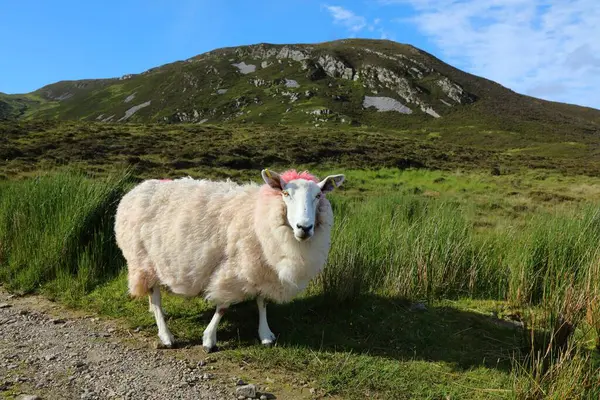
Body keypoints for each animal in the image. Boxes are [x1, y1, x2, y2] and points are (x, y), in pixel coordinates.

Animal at [115, 168, 344, 350]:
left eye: (318, 195)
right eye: (285, 193)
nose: (304, 228)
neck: (258, 214)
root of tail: (137, 189)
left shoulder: (260, 266)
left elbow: (262, 301)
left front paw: (265, 334)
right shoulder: (233, 266)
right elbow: (223, 306)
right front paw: (209, 339)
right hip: (142, 259)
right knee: (155, 296)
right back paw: (166, 335)